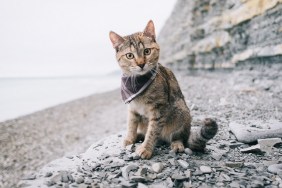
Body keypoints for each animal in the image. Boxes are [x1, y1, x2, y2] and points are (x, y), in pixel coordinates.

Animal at [108, 20, 218, 159]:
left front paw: (146, 148)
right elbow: (131, 125)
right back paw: (139, 136)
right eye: (129, 55)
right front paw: (130, 138)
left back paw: (177, 144)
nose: (141, 64)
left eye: (147, 51)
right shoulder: (132, 109)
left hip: (181, 113)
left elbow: (152, 132)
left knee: (179, 137)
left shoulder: (159, 109)